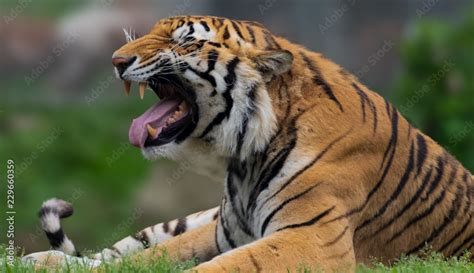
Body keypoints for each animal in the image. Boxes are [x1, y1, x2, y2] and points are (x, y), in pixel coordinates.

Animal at [24, 15, 472, 270]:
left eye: (183, 41)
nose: (116, 60)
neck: (245, 157)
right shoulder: (223, 234)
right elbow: (152, 258)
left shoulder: (312, 238)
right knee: (113, 251)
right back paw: (41, 258)